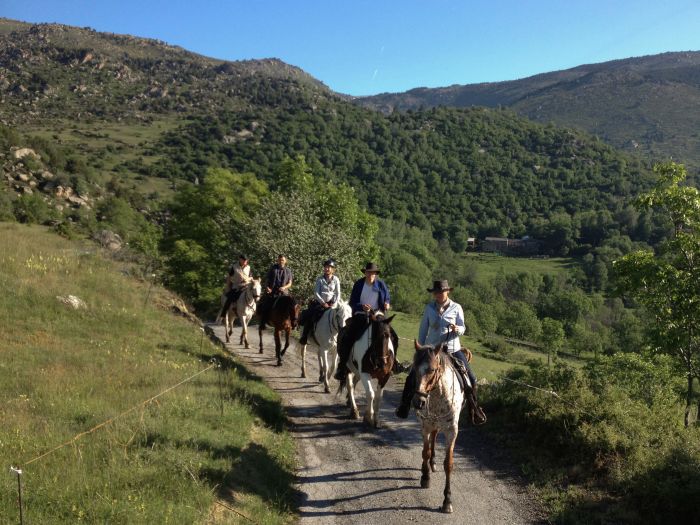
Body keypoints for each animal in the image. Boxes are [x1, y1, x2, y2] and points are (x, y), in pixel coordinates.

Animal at [410, 338, 464, 512]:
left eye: (432, 369)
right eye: (414, 368)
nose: (418, 402)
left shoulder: (452, 431)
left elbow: (448, 464)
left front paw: (447, 500)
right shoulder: (425, 425)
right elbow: (425, 452)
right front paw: (425, 478)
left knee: (434, 437)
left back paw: (433, 463)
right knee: (429, 444)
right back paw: (427, 466)